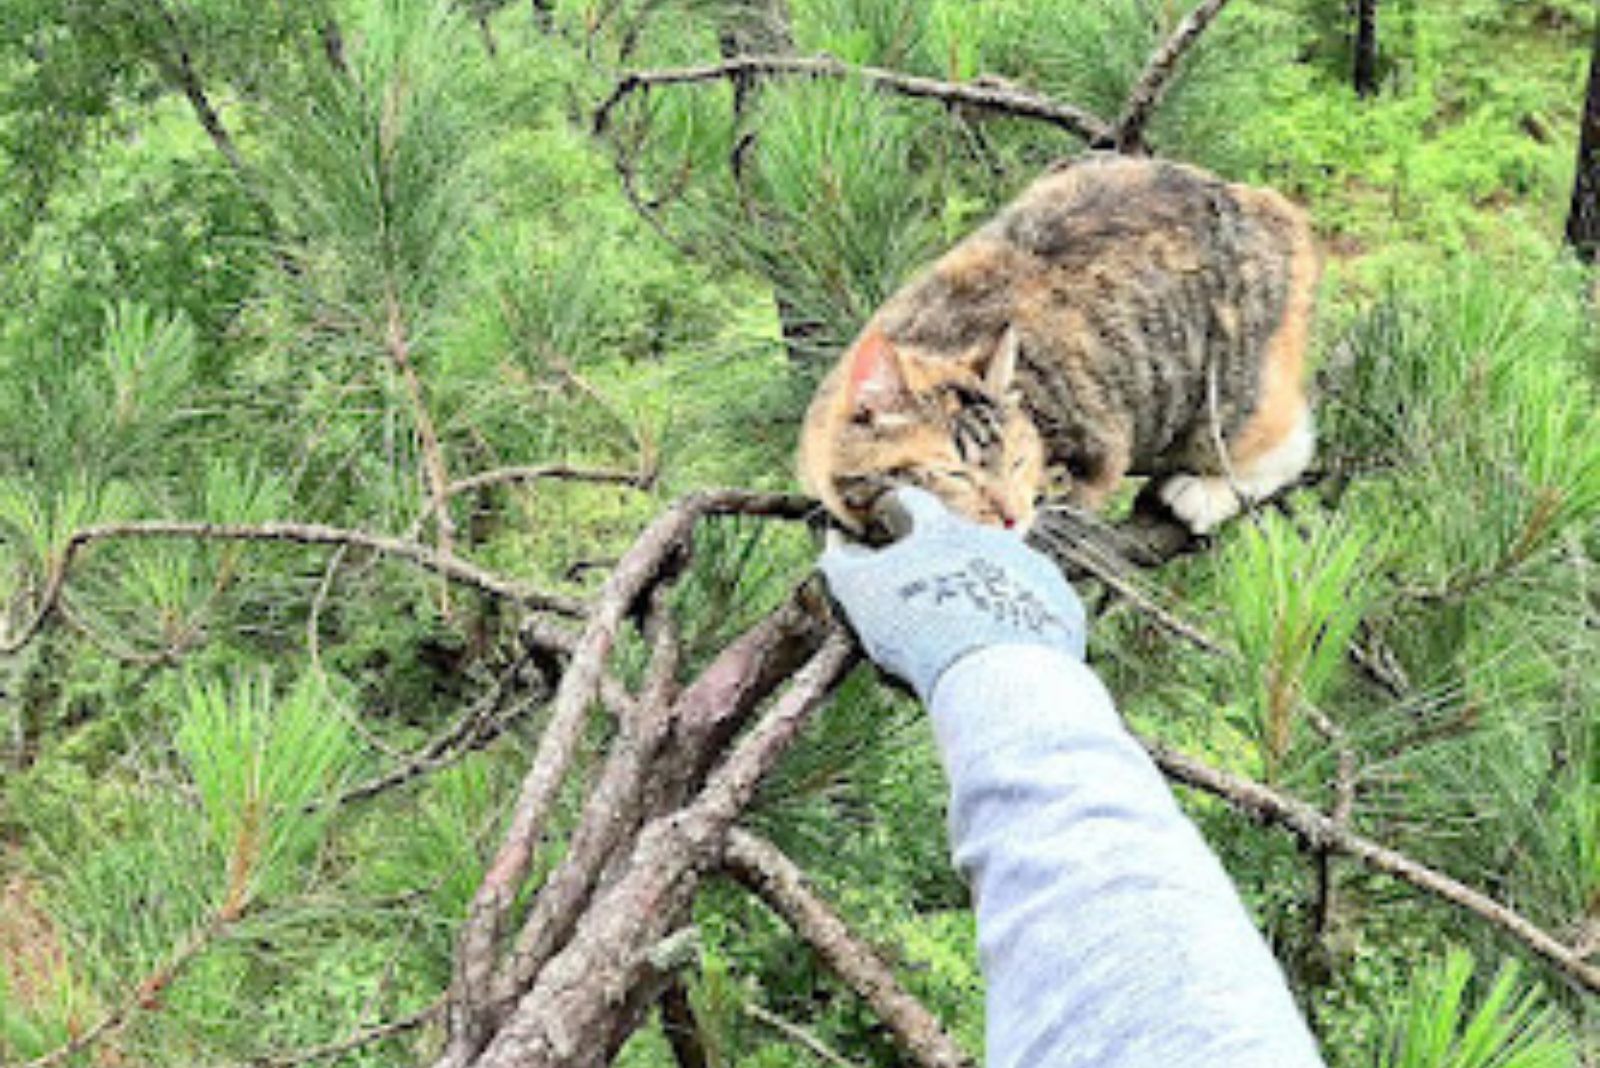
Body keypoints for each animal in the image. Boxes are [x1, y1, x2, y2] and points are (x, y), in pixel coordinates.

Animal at [796, 154, 1312, 537]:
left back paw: (1202, 492)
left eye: (1018, 460)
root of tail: (1261, 200)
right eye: (955, 475)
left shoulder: (1098, 442)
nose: (1010, 518)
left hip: (1226, 396)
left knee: (1289, 443)